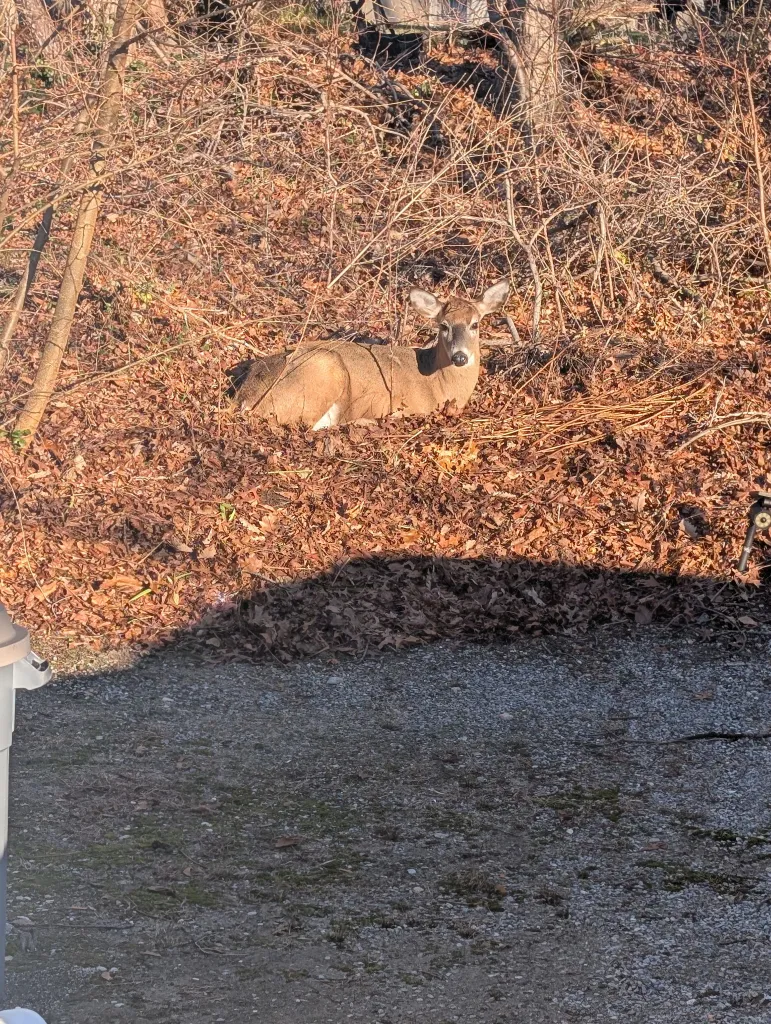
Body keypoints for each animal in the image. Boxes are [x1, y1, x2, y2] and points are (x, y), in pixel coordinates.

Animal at [235, 279, 510, 430]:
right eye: (444, 325)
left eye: (475, 324)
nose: (460, 357)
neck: (438, 384)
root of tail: (245, 398)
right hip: (323, 370)